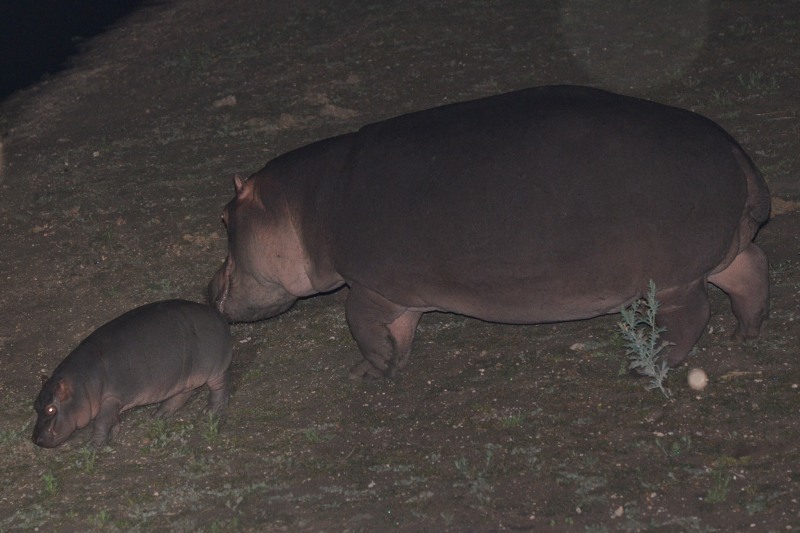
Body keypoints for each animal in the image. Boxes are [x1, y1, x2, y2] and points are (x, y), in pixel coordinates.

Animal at [33, 300, 232, 448]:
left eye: (51, 409)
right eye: (35, 405)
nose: (36, 439)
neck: (81, 384)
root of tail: (217, 314)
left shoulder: (111, 398)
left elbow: (101, 421)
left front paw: (94, 445)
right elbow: (111, 421)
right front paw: (113, 433)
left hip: (214, 370)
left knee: (219, 388)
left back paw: (210, 411)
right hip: (184, 376)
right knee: (183, 394)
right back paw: (159, 414)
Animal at [208, 85, 769, 380]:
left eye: (224, 218)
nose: (208, 287)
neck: (305, 203)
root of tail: (735, 153)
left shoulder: (369, 285)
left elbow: (362, 325)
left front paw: (372, 372)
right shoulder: (402, 293)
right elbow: (401, 330)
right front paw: (394, 364)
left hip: (673, 278)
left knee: (694, 314)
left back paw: (646, 366)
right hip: (719, 252)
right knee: (751, 271)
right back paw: (746, 334)